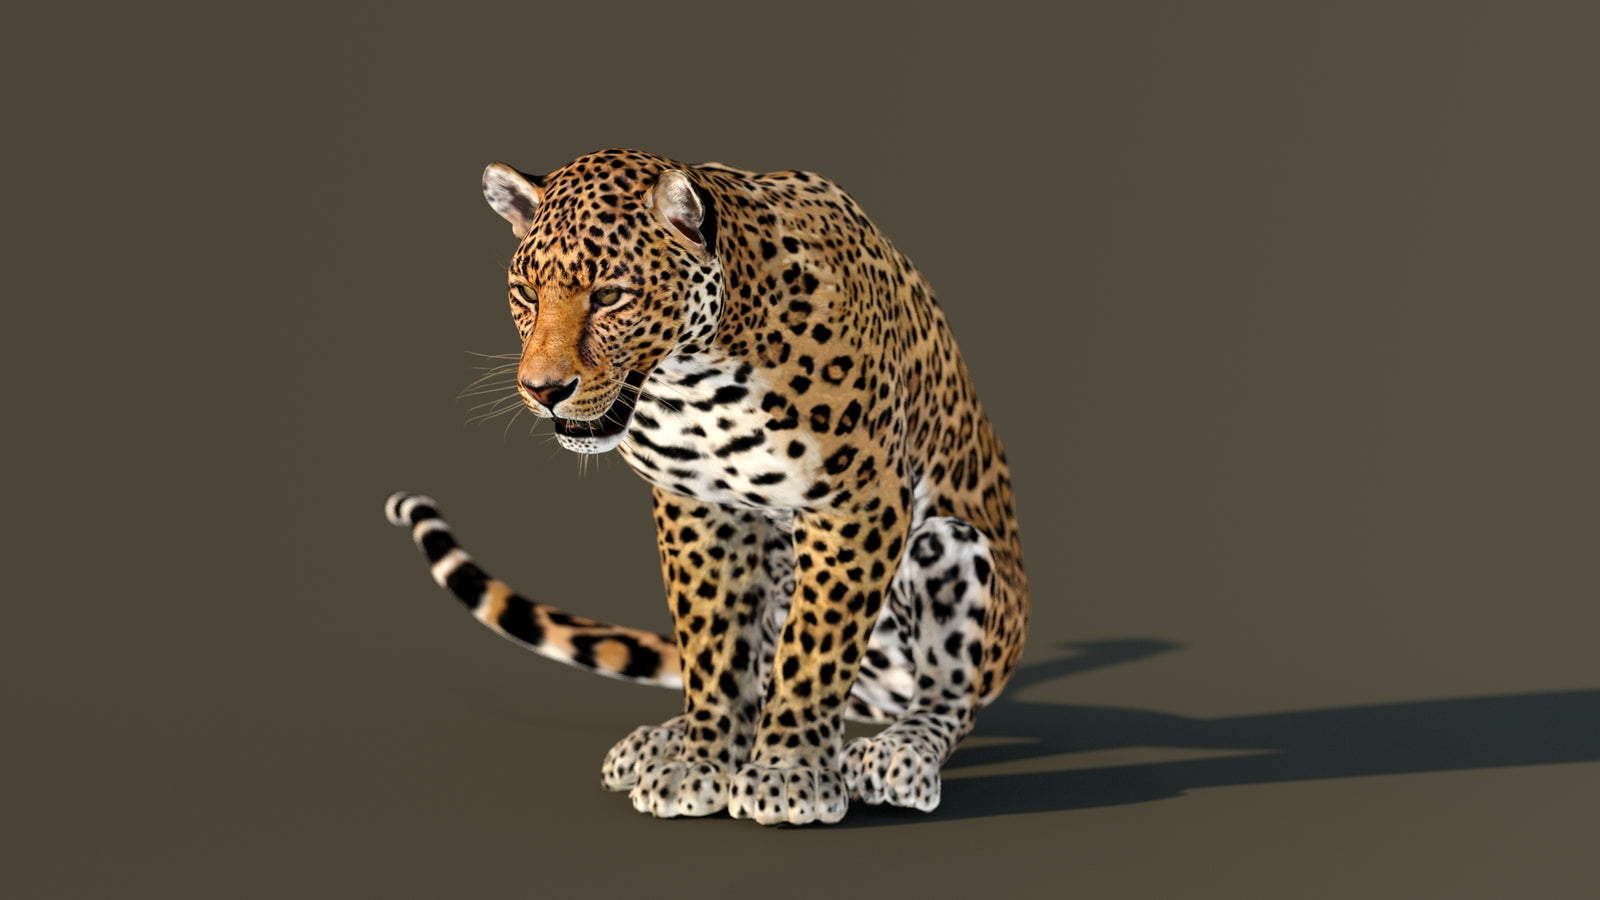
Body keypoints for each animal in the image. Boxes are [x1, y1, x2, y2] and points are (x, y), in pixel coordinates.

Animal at [385, 148, 1028, 825]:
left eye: (610, 295)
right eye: (526, 293)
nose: (542, 389)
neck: (699, 381)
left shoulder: (857, 501)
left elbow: (815, 646)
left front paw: (787, 773)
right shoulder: (699, 506)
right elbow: (713, 643)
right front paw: (700, 762)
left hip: (950, 547)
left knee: (949, 694)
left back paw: (897, 752)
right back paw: (658, 742)